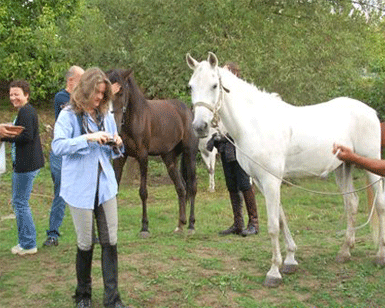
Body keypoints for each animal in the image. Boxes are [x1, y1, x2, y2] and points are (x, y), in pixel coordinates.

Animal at [106, 70, 198, 237]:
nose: (114, 122)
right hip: (169, 158)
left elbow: (143, 192)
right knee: (181, 187)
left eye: (121, 92)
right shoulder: (120, 158)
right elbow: (114, 189)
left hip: (190, 154)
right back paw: (180, 225)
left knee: (192, 187)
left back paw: (191, 225)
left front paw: (144, 227)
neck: (135, 118)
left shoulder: (143, 156)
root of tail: (187, 111)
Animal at [185, 52, 384, 286]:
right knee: (351, 203)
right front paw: (290, 259)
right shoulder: (262, 182)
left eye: (215, 85)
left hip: (371, 163)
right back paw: (345, 251)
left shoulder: (271, 180)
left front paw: (274, 272)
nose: (200, 127)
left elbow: (272, 226)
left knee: (379, 204)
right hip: (343, 168)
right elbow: (281, 218)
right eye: (190, 87)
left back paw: (380, 255)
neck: (255, 124)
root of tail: (369, 111)